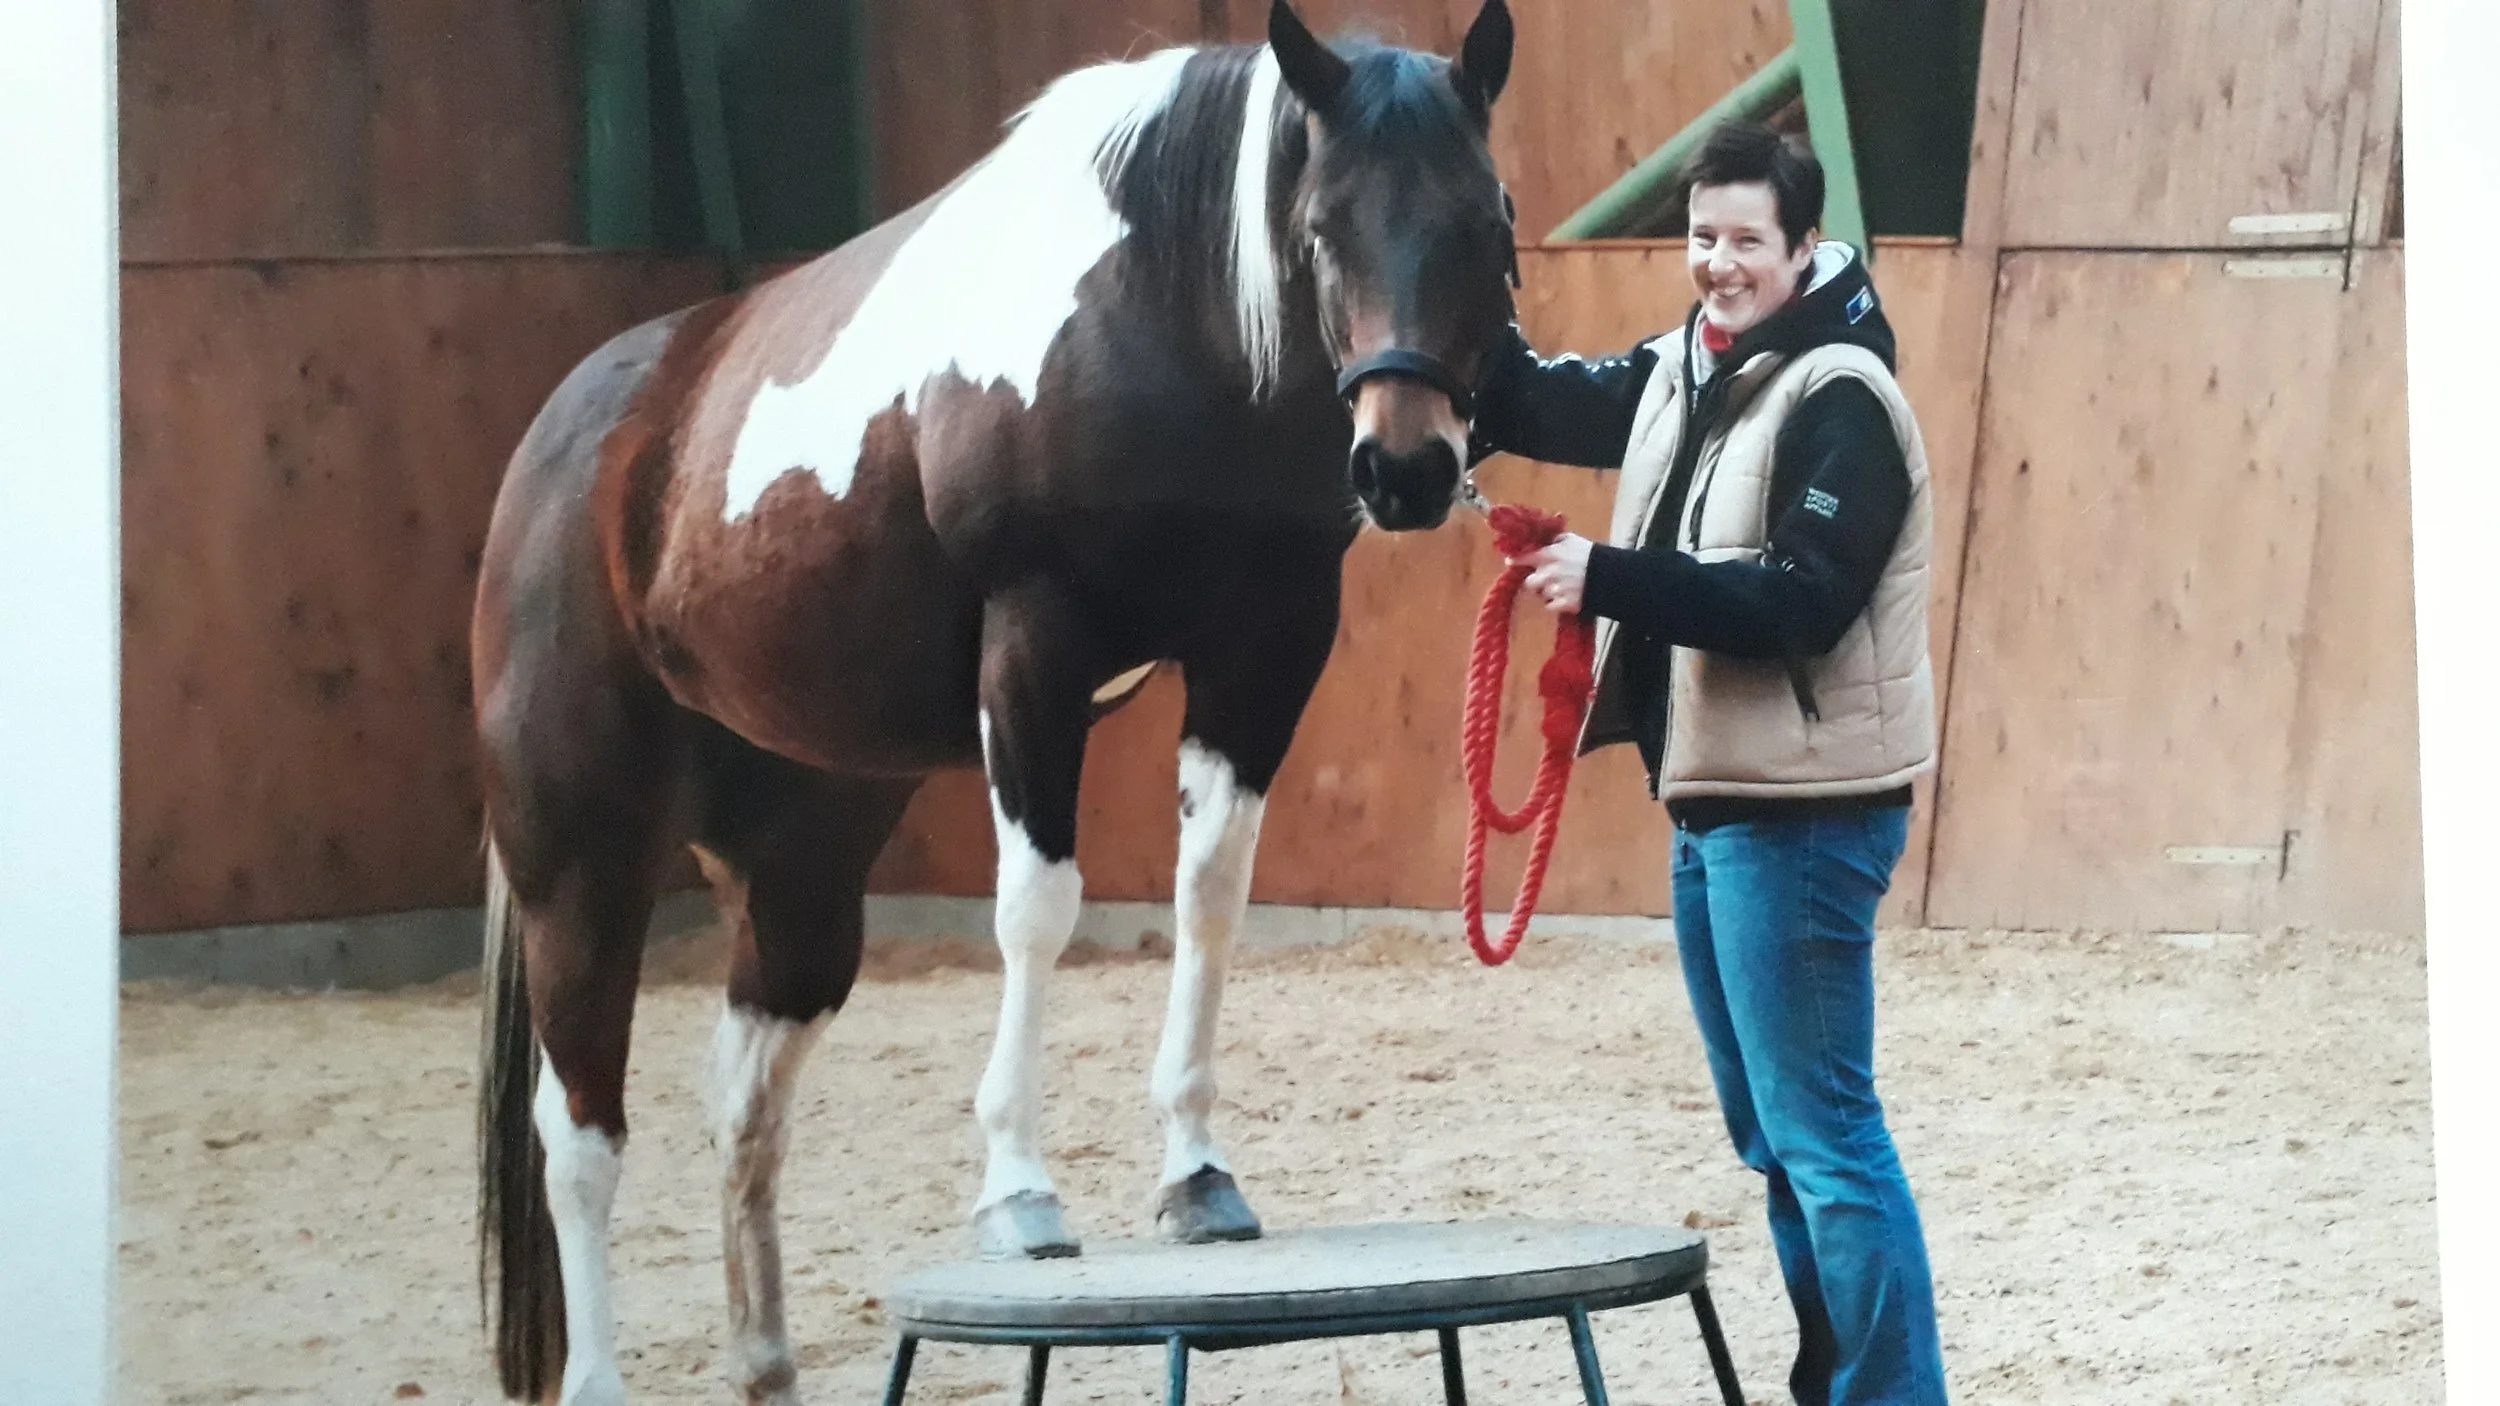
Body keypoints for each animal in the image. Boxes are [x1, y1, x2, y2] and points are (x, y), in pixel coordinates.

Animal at [471, 3, 1519, 1401]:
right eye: (1317, 225)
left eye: (1489, 222)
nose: (1405, 469)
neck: (1162, 322)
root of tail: (568, 440)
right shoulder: (1034, 652)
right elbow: (1036, 908)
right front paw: (1019, 1189)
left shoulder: (1263, 654)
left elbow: (1210, 898)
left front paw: (1195, 1173)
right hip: (581, 860)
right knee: (578, 1127)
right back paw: (598, 1368)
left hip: (800, 875)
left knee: (744, 1094)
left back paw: (765, 1352)